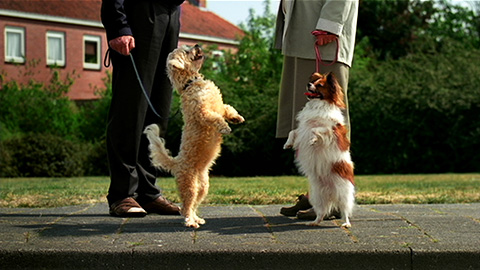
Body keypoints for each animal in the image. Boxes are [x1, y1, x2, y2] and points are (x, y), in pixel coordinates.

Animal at [142, 44, 244, 228]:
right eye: (186, 50)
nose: (196, 45)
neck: (192, 83)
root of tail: (176, 163)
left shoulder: (220, 106)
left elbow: (228, 109)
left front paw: (236, 118)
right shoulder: (203, 112)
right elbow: (216, 118)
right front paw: (225, 127)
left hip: (202, 187)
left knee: (194, 204)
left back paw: (197, 218)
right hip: (189, 185)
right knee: (186, 206)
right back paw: (190, 222)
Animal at [284, 71, 354, 228]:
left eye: (320, 85)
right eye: (313, 82)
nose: (308, 84)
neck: (317, 105)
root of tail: (330, 192)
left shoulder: (332, 131)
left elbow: (317, 129)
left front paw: (313, 140)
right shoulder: (301, 130)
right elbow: (292, 132)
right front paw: (288, 144)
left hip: (343, 194)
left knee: (345, 210)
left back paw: (346, 223)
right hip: (317, 196)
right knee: (321, 211)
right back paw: (315, 222)